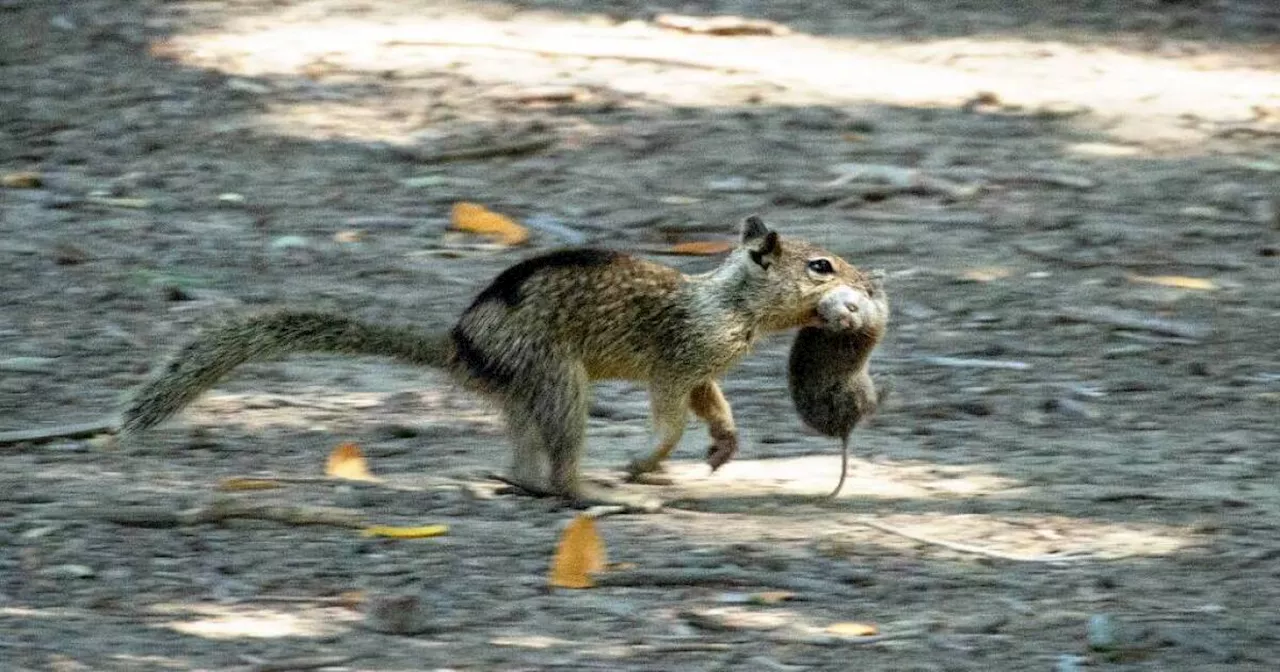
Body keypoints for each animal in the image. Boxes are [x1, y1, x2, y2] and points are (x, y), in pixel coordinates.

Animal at [778, 268, 890, 496]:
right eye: (827, 318)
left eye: (852, 307)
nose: (847, 322)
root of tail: (844, 431)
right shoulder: (877, 316)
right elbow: (881, 304)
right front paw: (876, 279)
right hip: (861, 390)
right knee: (871, 407)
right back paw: (886, 386)